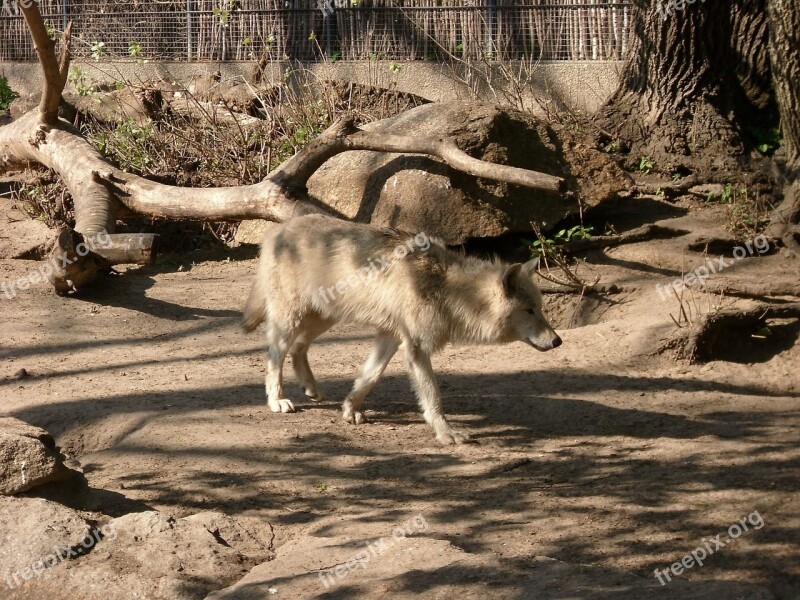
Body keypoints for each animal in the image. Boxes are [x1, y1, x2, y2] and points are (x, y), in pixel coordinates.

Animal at [244, 217, 564, 446]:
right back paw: (277, 400)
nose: (557, 340)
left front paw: (349, 409)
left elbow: (369, 377)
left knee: (299, 348)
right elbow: (433, 398)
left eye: (540, 308)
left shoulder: (391, 337)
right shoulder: (416, 348)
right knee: (274, 356)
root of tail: (276, 230)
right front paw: (447, 435)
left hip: (324, 317)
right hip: (293, 320)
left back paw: (312, 389)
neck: (447, 288)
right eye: (529, 311)